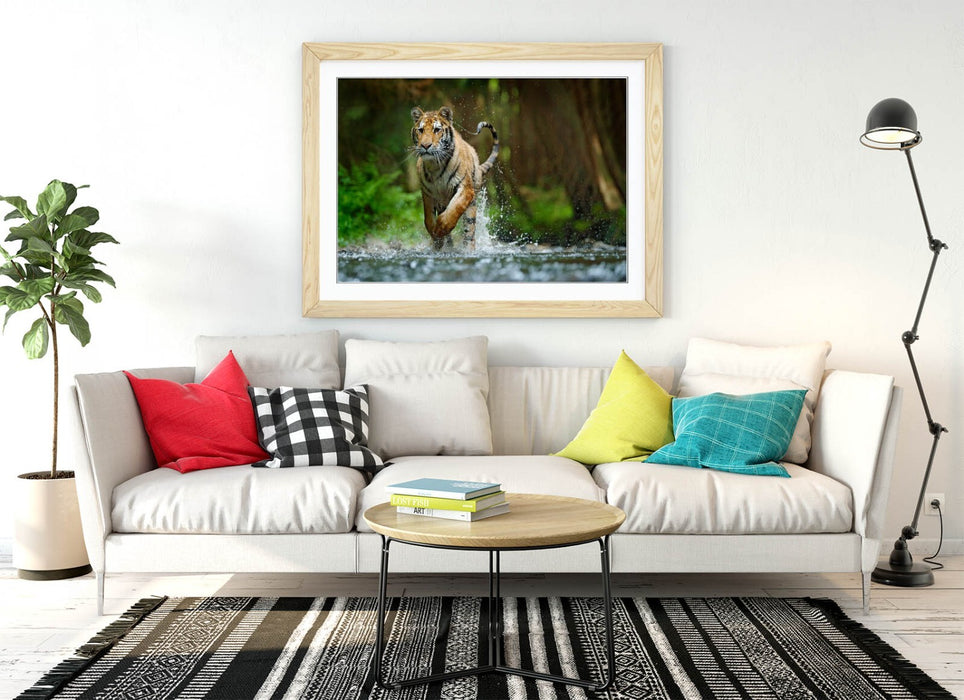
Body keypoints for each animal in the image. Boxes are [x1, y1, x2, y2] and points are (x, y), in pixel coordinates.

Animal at [411, 106, 499, 250]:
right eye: (421, 130)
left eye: (437, 129)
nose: (425, 146)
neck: (435, 165)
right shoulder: (427, 193)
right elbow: (428, 219)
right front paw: (436, 238)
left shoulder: (465, 189)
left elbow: (453, 210)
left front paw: (440, 229)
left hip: (471, 206)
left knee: (469, 232)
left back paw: (467, 249)